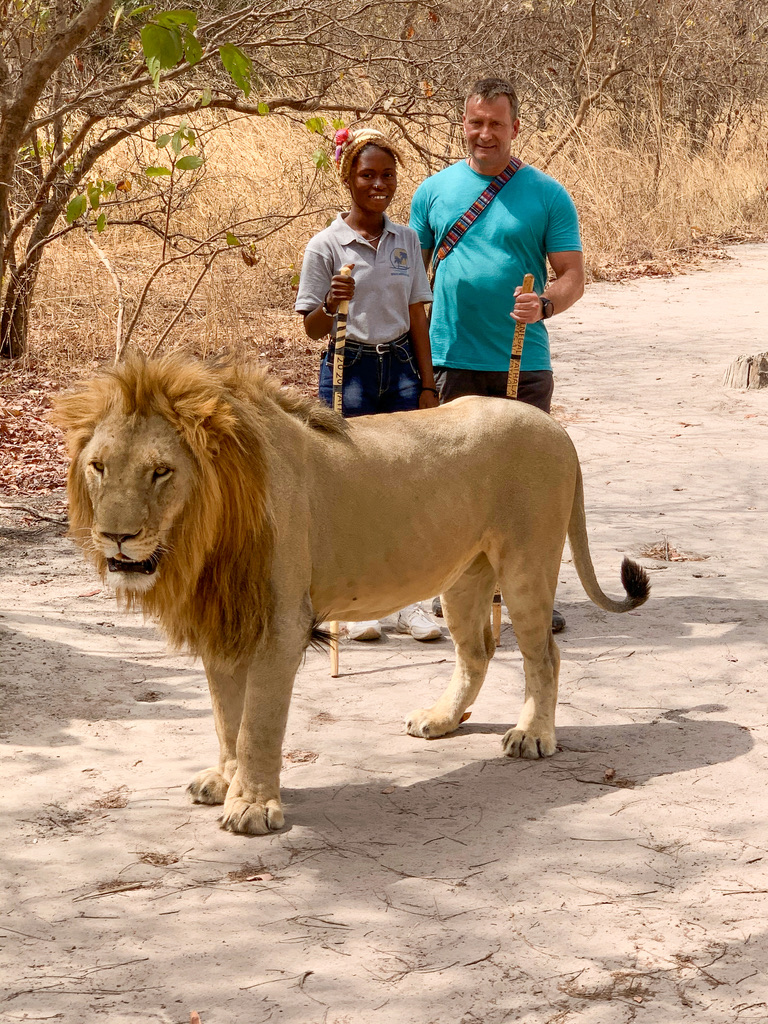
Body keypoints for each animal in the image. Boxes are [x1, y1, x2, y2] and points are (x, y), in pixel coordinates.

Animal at [53, 353, 649, 836]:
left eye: (161, 472)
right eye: (98, 467)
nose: (116, 537)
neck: (204, 531)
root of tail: (554, 426)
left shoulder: (280, 625)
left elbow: (256, 724)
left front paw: (252, 807)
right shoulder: (222, 619)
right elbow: (226, 717)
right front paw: (224, 781)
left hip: (526, 566)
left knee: (543, 653)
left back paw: (532, 735)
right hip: (464, 576)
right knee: (476, 651)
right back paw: (440, 719)